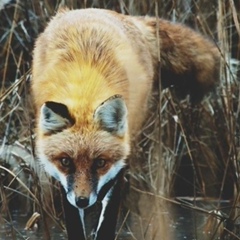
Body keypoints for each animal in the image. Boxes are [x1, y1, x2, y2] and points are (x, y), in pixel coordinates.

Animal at [31, 7, 219, 240]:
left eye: (100, 162)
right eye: (66, 161)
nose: (83, 200)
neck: (85, 86)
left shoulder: (117, 162)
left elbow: (109, 212)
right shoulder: (65, 183)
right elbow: (74, 219)